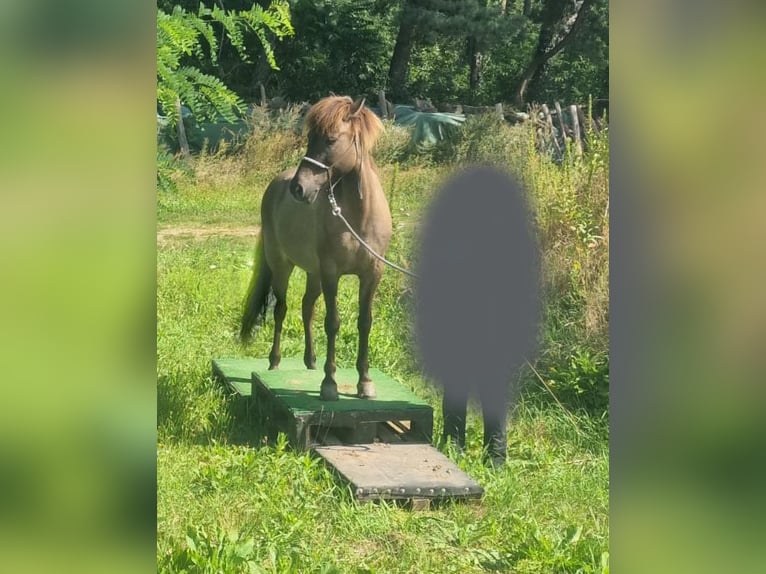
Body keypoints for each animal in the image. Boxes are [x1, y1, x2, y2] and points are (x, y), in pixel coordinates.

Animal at [240, 96, 392, 401]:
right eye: (310, 137)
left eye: (331, 139)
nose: (299, 188)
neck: (358, 219)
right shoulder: (332, 273)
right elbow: (332, 322)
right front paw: (329, 384)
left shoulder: (372, 274)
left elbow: (365, 322)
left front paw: (365, 382)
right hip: (282, 266)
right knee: (282, 308)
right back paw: (275, 362)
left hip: (314, 273)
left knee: (307, 306)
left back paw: (310, 361)